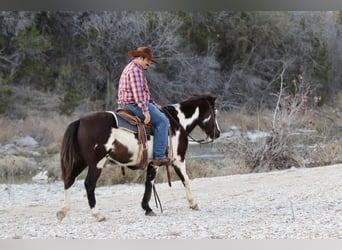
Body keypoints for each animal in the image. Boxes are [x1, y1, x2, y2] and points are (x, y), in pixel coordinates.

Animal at [56, 94, 220, 222]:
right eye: (215, 112)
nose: (217, 133)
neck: (177, 122)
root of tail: (80, 121)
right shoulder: (178, 159)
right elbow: (185, 179)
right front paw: (193, 203)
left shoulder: (153, 163)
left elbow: (149, 183)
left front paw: (147, 208)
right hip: (96, 163)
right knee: (89, 184)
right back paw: (98, 215)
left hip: (81, 161)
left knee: (69, 180)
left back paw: (63, 211)